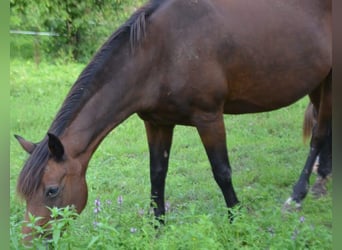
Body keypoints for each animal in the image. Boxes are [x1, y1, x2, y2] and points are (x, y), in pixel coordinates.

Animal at [14, 0, 330, 242]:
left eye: (52, 191)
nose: (28, 242)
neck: (161, 51)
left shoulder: (209, 118)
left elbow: (222, 172)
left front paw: (237, 221)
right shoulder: (157, 123)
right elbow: (157, 174)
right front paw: (157, 229)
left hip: (329, 82)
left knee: (319, 134)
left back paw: (299, 195)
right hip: (317, 85)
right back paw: (322, 180)